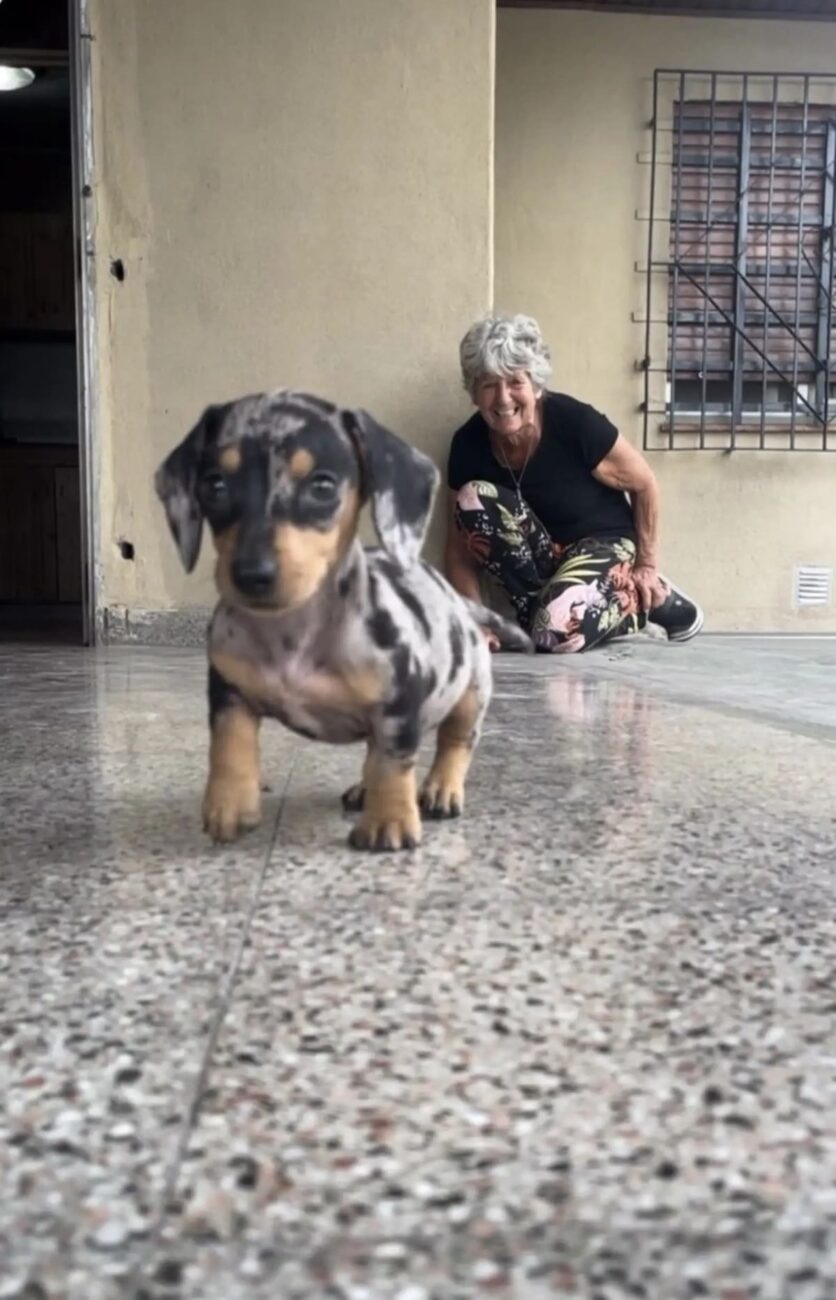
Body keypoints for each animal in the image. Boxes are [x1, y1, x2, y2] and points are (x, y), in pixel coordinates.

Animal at [155, 390, 530, 851]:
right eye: (214, 485)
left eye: (322, 486)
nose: (251, 575)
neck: (293, 634)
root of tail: (460, 601)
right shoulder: (229, 688)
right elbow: (229, 743)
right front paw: (229, 803)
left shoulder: (399, 702)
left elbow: (393, 760)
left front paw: (389, 822)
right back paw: (364, 789)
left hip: (471, 694)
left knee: (455, 741)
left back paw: (441, 788)